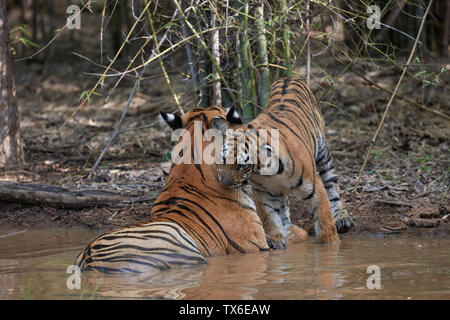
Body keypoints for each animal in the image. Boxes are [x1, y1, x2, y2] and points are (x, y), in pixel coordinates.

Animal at [214, 77, 356, 248]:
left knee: (332, 185)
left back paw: (342, 218)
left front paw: (331, 244)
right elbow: (270, 218)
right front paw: (276, 239)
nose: (224, 184)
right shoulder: (263, 193)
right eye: (223, 159)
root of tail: (289, 78)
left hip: (323, 154)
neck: (267, 172)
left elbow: (324, 220)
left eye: (242, 165)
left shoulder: (315, 187)